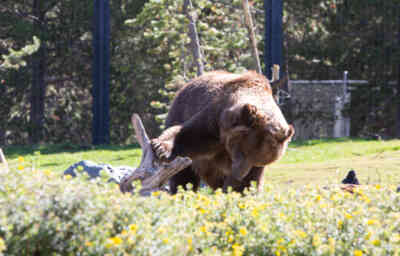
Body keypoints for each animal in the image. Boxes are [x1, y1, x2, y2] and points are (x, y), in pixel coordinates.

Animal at [151, 71, 294, 193]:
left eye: (256, 161)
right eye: (242, 152)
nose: (238, 174)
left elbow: (249, 182)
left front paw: (236, 190)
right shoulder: (216, 120)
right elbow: (190, 135)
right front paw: (161, 147)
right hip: (180, 109)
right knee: (184, 176)